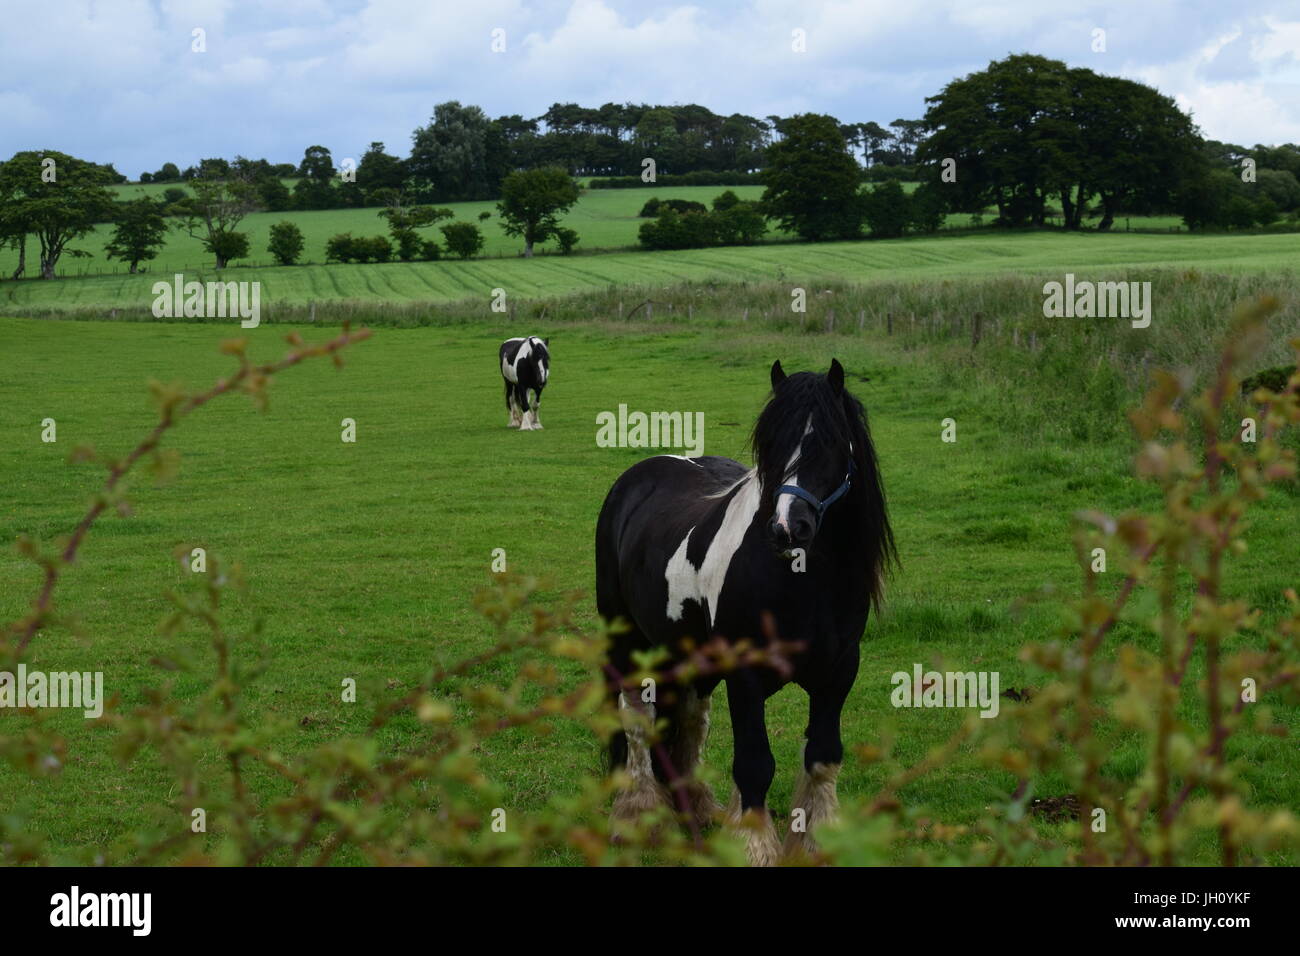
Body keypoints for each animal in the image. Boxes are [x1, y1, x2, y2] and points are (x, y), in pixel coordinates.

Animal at [594, 358, 894, 865]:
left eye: (831, 444)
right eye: (769, 445)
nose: (787, 527)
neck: (803, 583)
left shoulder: (838, 674)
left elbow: (823, 754)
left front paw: (815, 842)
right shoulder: (746, 676)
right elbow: (755, 763)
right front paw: (753, 846)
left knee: (689, 721)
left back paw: (696, 809)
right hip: (627, 641)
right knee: (635, 719)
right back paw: (638, 817)